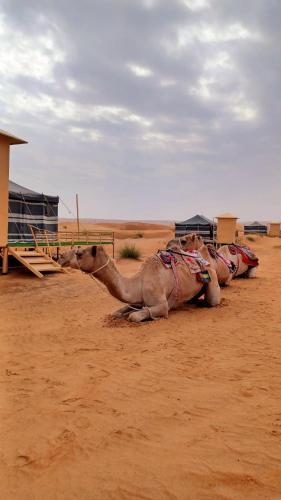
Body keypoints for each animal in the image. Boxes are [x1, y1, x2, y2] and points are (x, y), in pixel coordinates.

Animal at [59, 244, 220, 322]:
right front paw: (122, 313)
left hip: (212, 277)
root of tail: (206, 260)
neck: (139, 282)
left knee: (212, 301)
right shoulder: (137, 300)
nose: (59, 256)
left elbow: (134, 316)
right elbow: (117, 312)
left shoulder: (162, 306)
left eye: (79, 253)